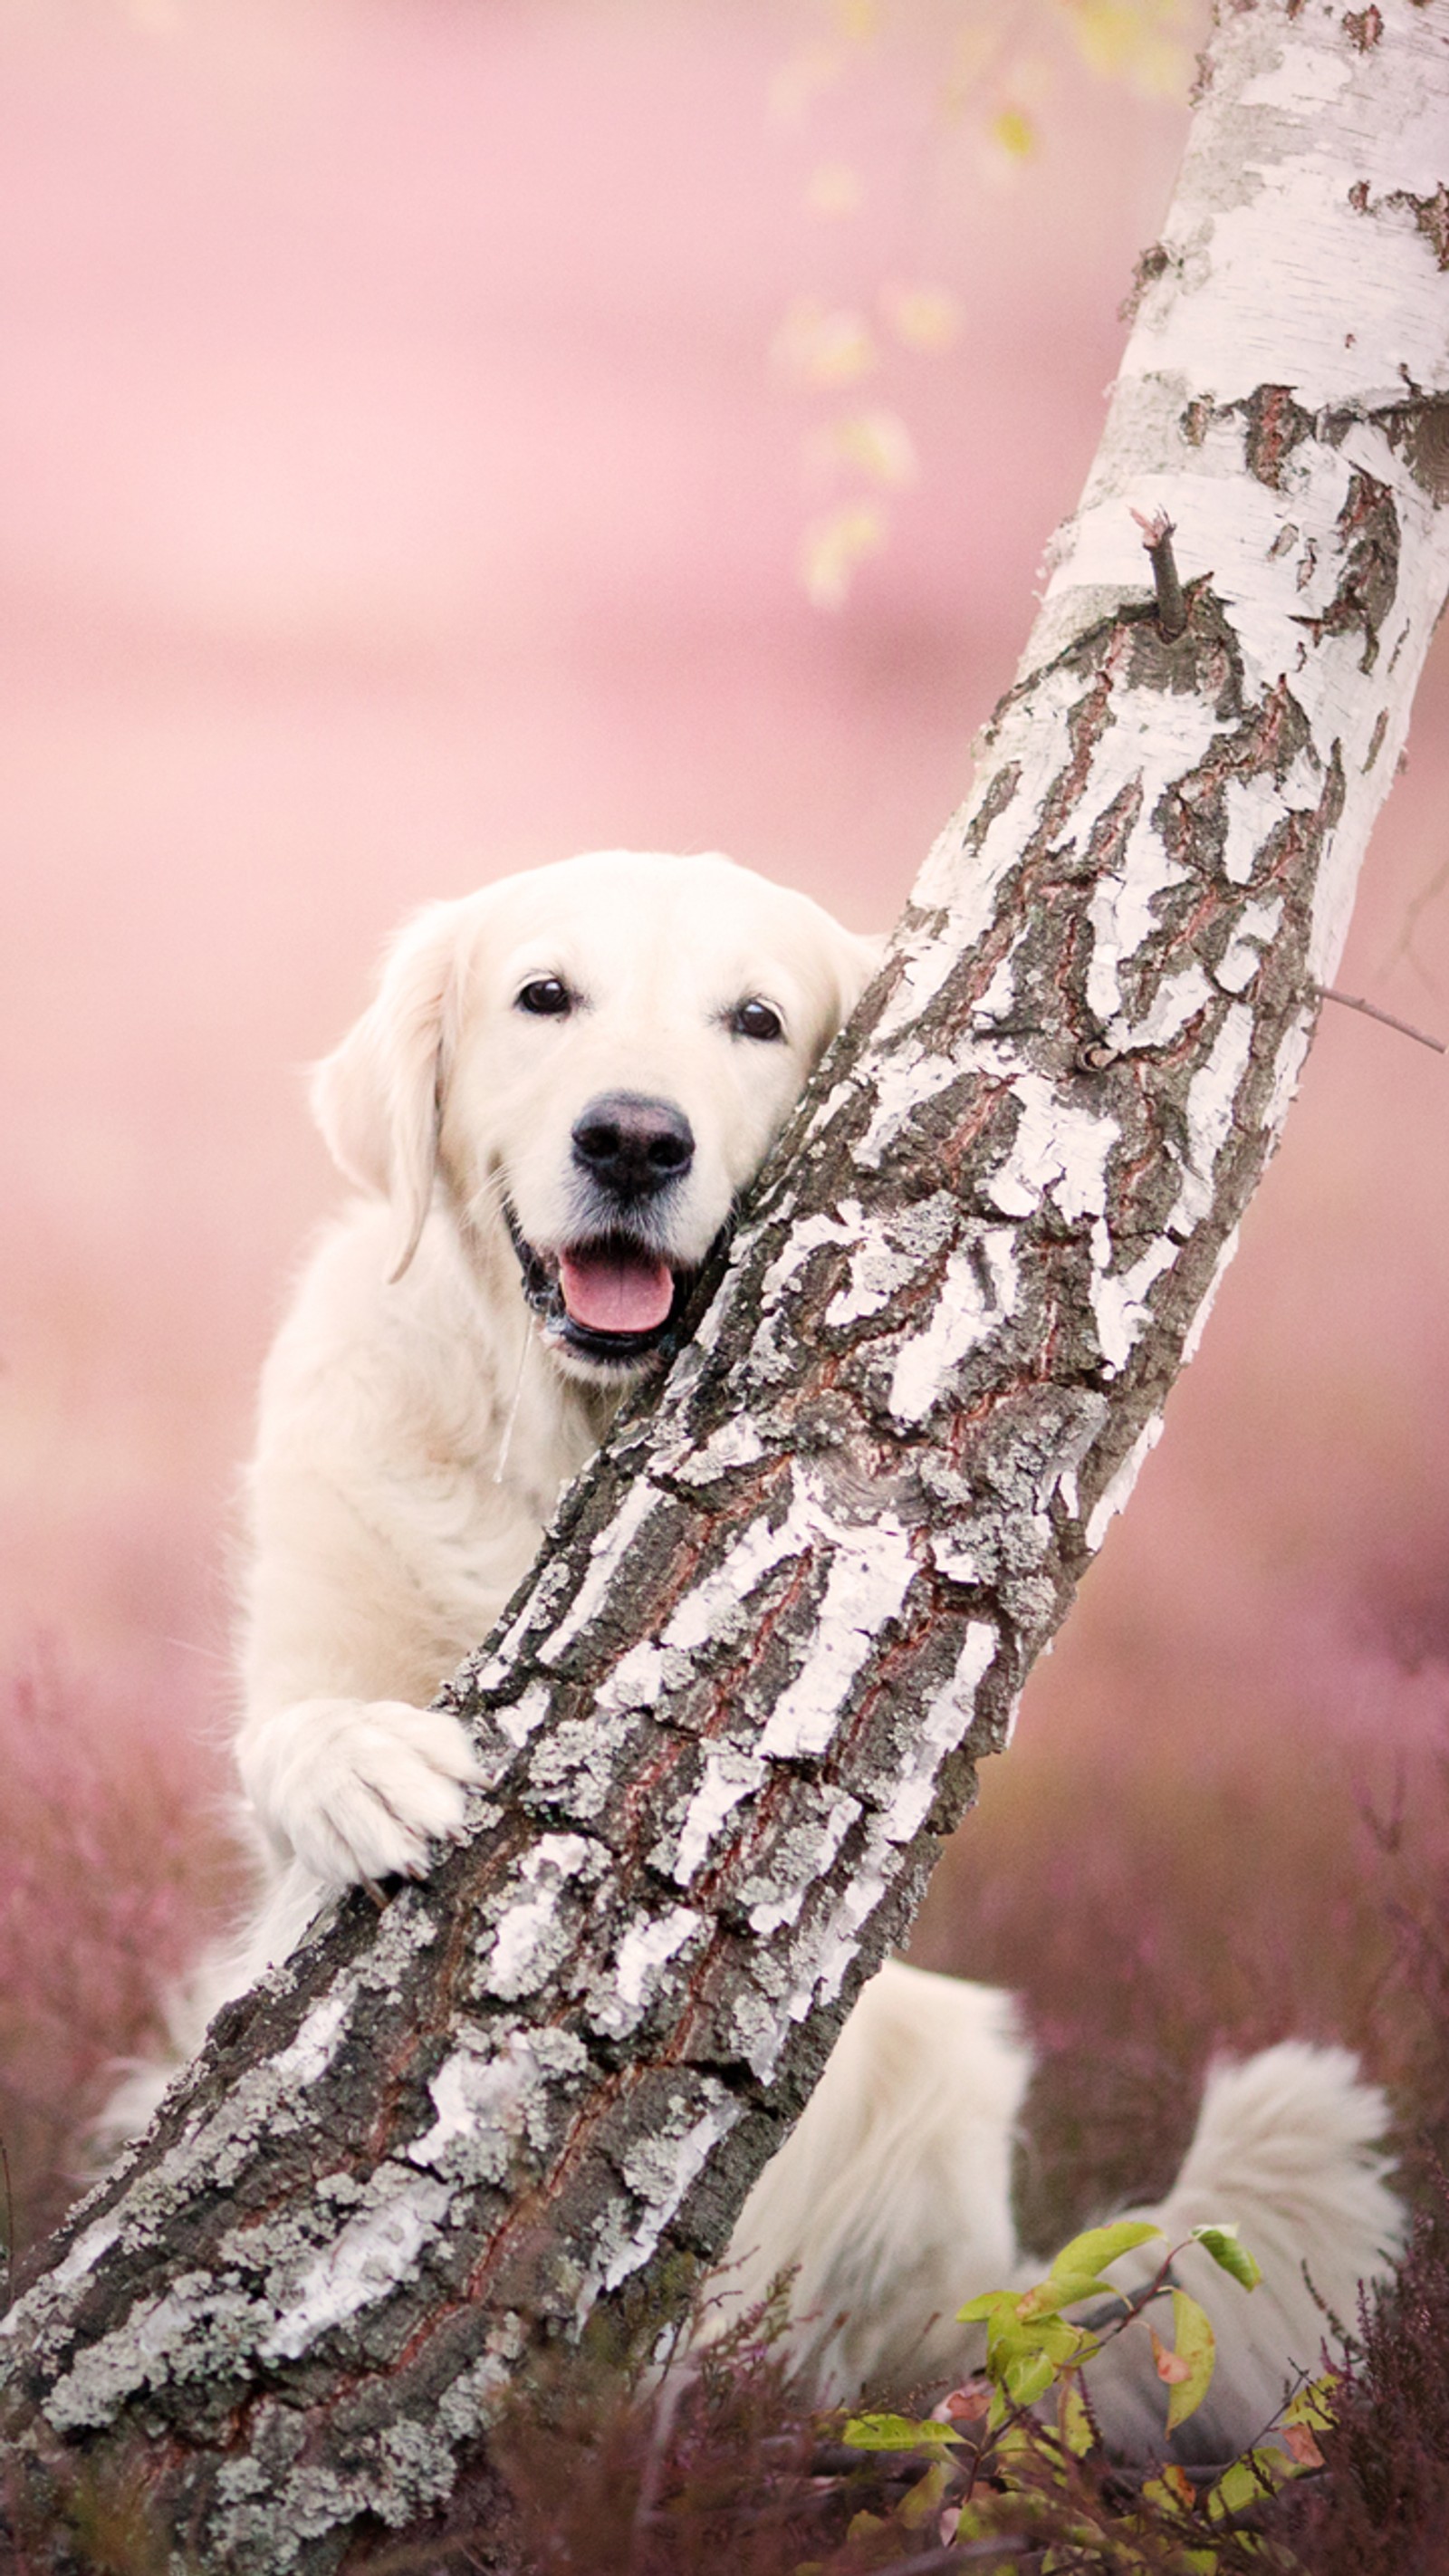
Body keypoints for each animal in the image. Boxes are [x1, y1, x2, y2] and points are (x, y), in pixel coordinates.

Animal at [104, 850, 1410, 2452]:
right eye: (545, 994)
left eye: (757, 1020)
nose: (634, 1139)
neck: (566, 1441)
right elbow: (294, 1735)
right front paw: (358, 1766)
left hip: (940, 2076)